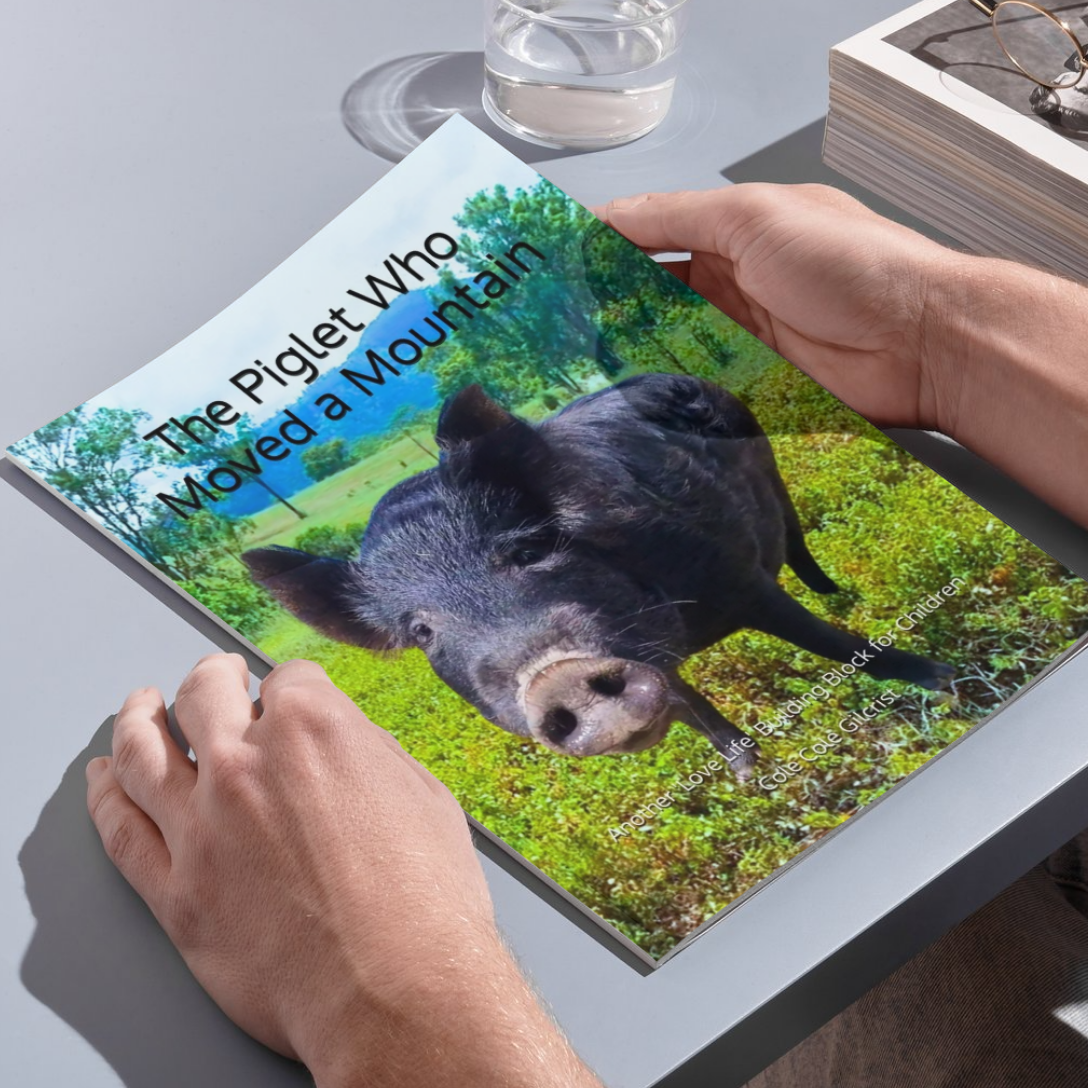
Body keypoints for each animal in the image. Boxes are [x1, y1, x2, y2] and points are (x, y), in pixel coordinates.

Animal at [242, 374, 954, 779]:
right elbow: (689, 707)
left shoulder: (739, 579)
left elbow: (830, 643)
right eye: (422, 631)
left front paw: (942, 683)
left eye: (529, 551)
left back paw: (838, 590)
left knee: (795, 531)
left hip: (764, 453)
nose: (554, 675)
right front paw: (747, 773)